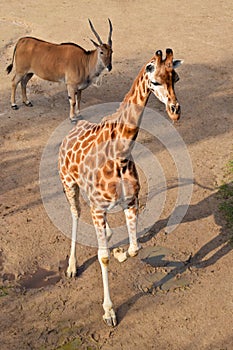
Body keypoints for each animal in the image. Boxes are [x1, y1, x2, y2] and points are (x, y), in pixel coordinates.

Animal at [59, 48, 183, 326]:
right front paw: (109, 312)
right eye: (155, 81)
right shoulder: (98, 208)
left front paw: (119, 252)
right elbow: (102, 257)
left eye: (176, 78)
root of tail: (69, 134)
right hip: (69, 184)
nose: (175, 111)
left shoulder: (131, 201)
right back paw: (72, 266)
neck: (121, 154)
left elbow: (135, 249)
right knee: (75, 214)